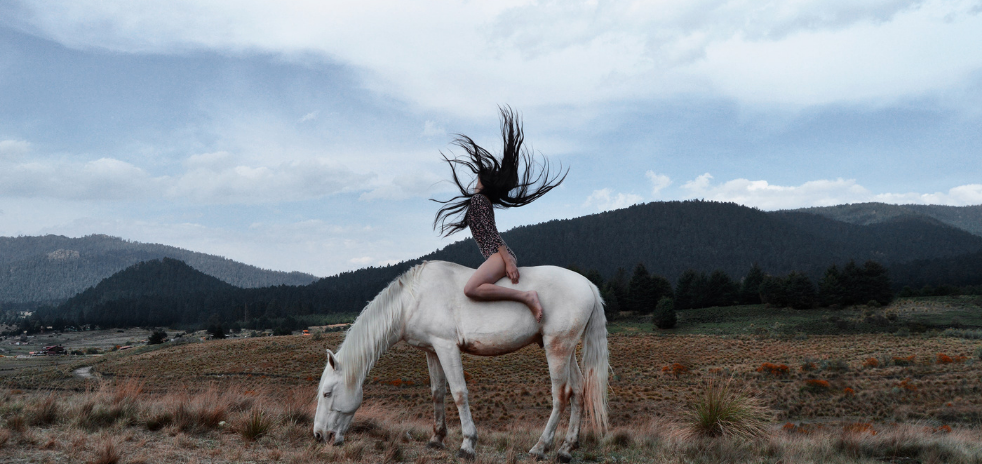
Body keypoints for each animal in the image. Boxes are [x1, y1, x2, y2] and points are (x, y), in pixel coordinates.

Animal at [316, 260, 608, 460]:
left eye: (327, 393)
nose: (319, 436)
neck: (412, 299)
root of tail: (587, 284)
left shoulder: (447, 347)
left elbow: (458, 393)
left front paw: (468, 445)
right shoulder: (432, 350)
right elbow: (437, 392)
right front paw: (436, 438)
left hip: (556, 348)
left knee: (561, 395)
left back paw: (540, 447)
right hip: (567, 350)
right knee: (579, 391)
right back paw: (566, 449)